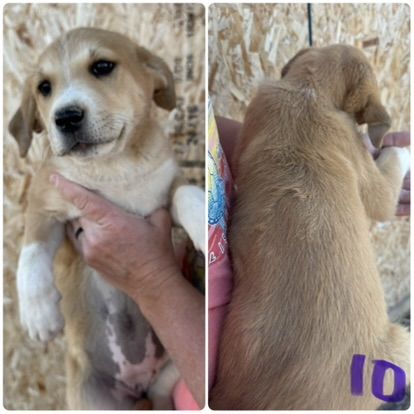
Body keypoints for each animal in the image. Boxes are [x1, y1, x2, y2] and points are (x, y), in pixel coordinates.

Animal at [9, 27, 205, 409]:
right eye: (44, 87)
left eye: (102, 67)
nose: (66, 117)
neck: (115, 168)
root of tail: (138, 384)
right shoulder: (46, 200)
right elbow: (32, 250)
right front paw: (38, 312)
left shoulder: (166, 189)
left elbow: (187, 194)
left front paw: (208, 222)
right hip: (91, 398)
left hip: (168, 376)